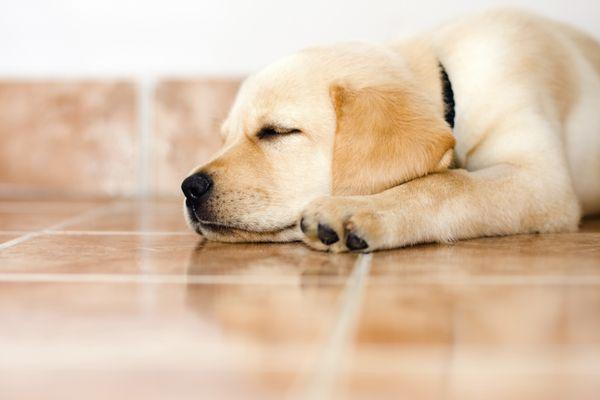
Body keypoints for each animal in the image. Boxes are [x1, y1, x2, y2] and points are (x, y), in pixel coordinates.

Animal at [182, 9, 600, 252]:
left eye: (277, 132)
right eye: (225, 138)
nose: (189, 188)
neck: (448, 79)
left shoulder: (540, 179)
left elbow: (447, 184)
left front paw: (357, 209)